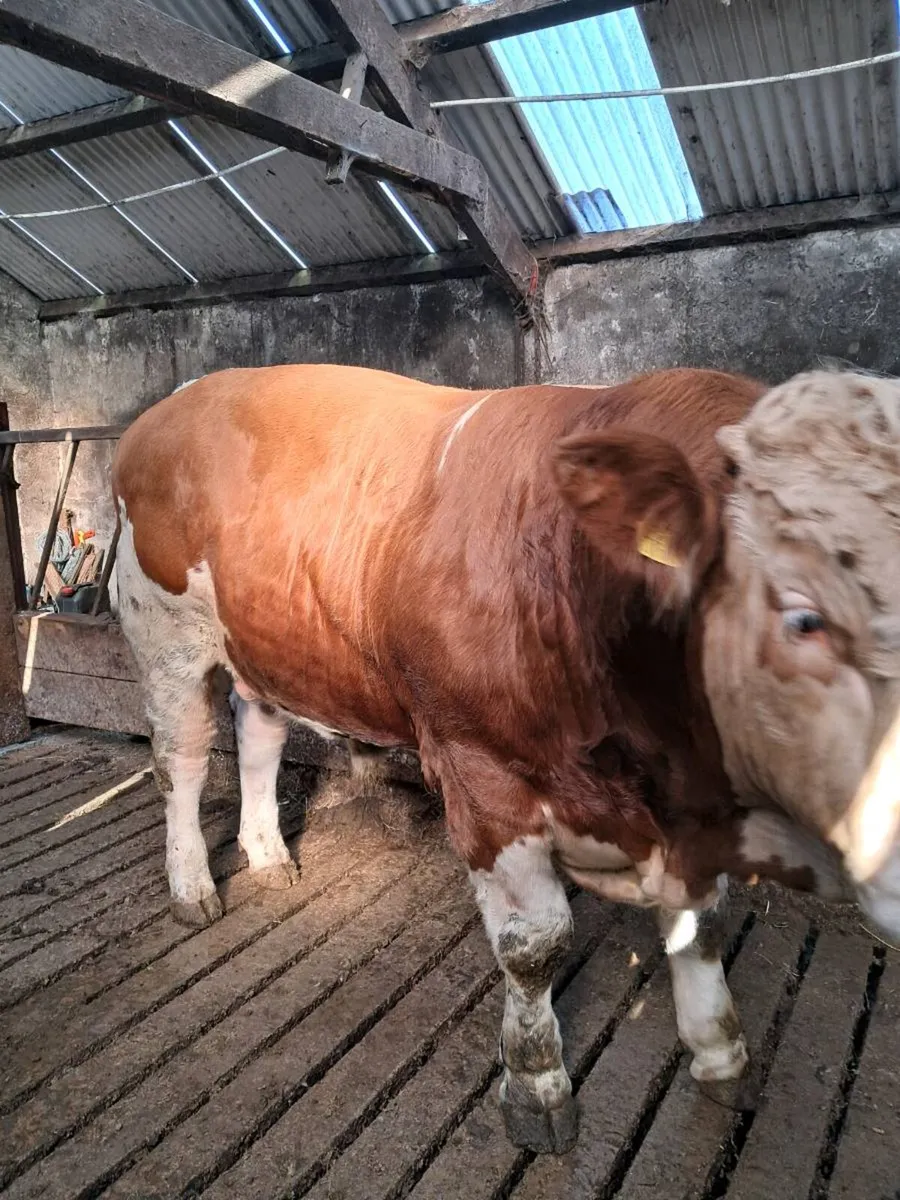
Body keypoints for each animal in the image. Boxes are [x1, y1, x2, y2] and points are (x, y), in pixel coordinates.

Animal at [111, 363, 900, 1155]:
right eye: (804, 617)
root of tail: (174, 402)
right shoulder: (482, 773)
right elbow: (535, 945)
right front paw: (537, 1086)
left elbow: (700, 925)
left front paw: (720, 1055)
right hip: (167, 637)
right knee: (182, 760)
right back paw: (192, 886)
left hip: (266, 647)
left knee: (260, 735)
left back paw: (269, 855)